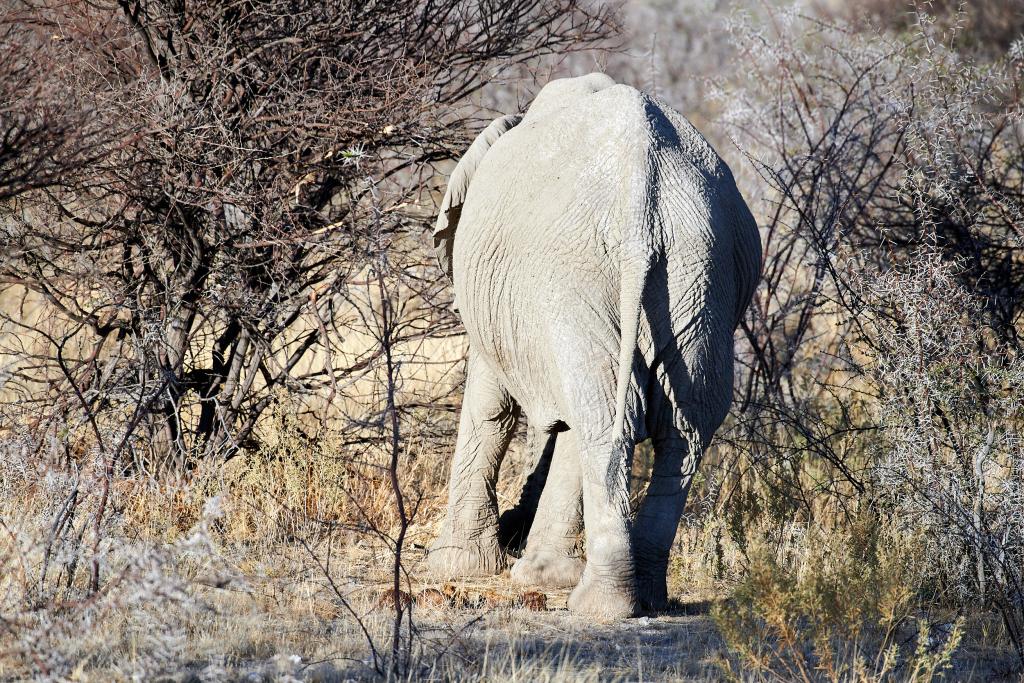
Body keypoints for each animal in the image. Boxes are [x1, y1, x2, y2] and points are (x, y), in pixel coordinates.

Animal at [423, 73, 761, 618]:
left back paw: (599, 604)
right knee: (678, 428)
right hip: (701, 274)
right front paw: (534, 571)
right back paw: (640, 596)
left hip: (577, 271)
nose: (514, 523)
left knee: (607, 420)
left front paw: (456, 567)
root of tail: (645, 192)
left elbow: (491, 404)